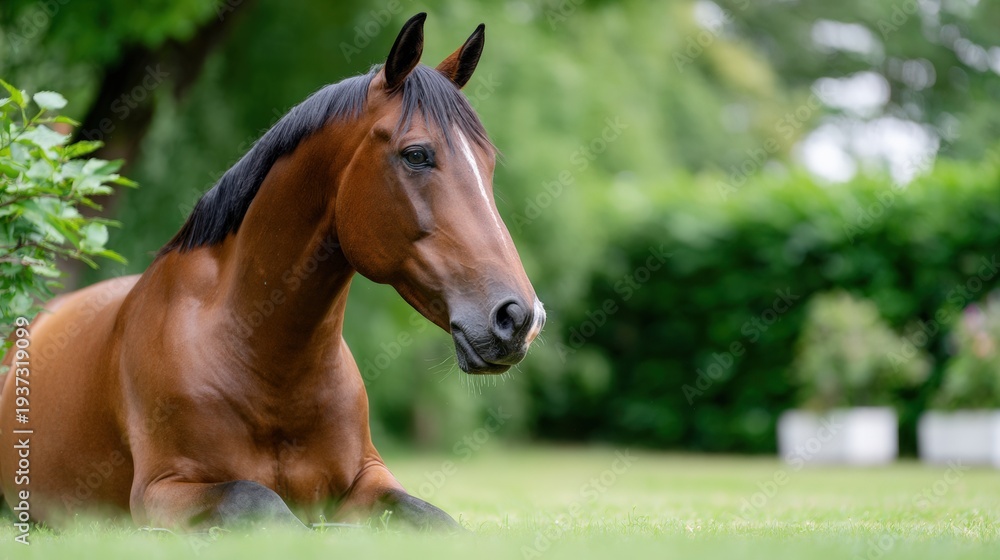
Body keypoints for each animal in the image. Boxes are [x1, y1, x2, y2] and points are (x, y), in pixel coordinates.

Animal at [0, 13, 544, 531]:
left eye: (488, 163)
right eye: (416, 154)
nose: (520, 318)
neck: (263, 359)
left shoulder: (370, 479)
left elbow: (432, 518)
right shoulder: (163, 492)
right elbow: (261, 503)